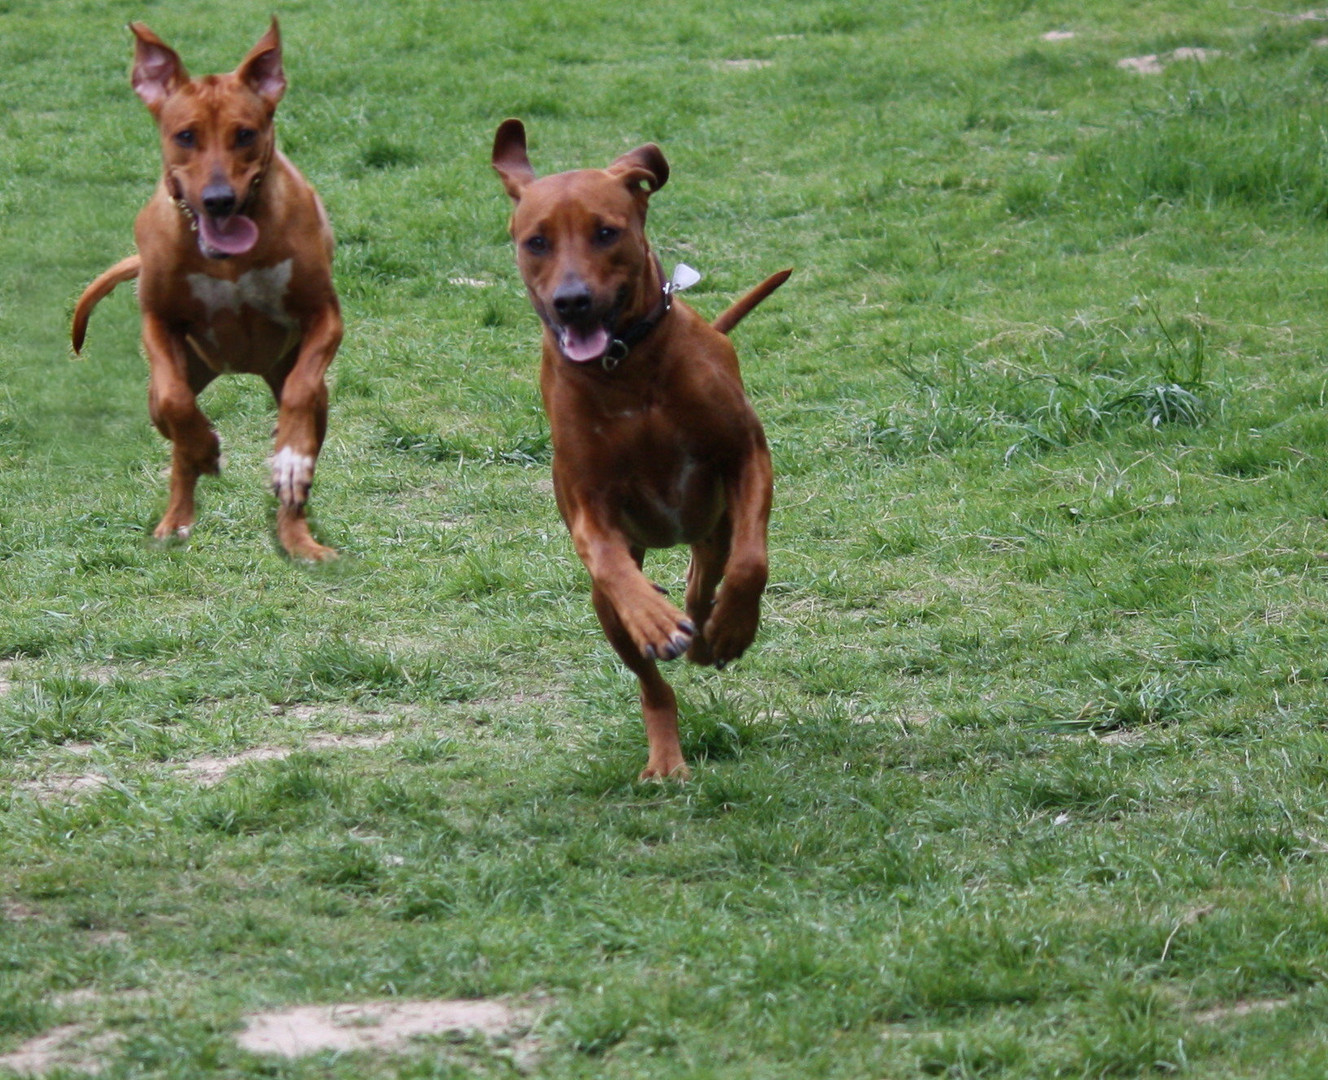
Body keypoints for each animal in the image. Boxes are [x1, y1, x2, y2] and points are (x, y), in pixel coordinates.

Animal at [72, 21, 342, 560]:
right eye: (185, 135)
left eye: (246, 134)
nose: (219, 200)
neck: (228, 259)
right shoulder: (157, 321)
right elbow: (178, 405)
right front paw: (207, 448)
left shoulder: (325, 316)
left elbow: (300, 393)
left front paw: (289, 459)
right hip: (173, 382)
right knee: (174, 432)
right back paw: (176, 518)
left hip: (305, 389)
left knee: (303, 421)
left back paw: (296, 531)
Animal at [496, 115, 786, 775]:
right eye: (536, 242)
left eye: (607, 232)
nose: (571, 301)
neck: (625, 367)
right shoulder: (588, 503)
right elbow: (605, 558)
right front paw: (653, 616)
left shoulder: (747, 456)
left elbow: (752, 563)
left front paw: (734, 627)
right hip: (609, 612)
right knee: (653, 682)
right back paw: (666, 751)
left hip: (715, 521)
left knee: (709, 572)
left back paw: (710, 628)